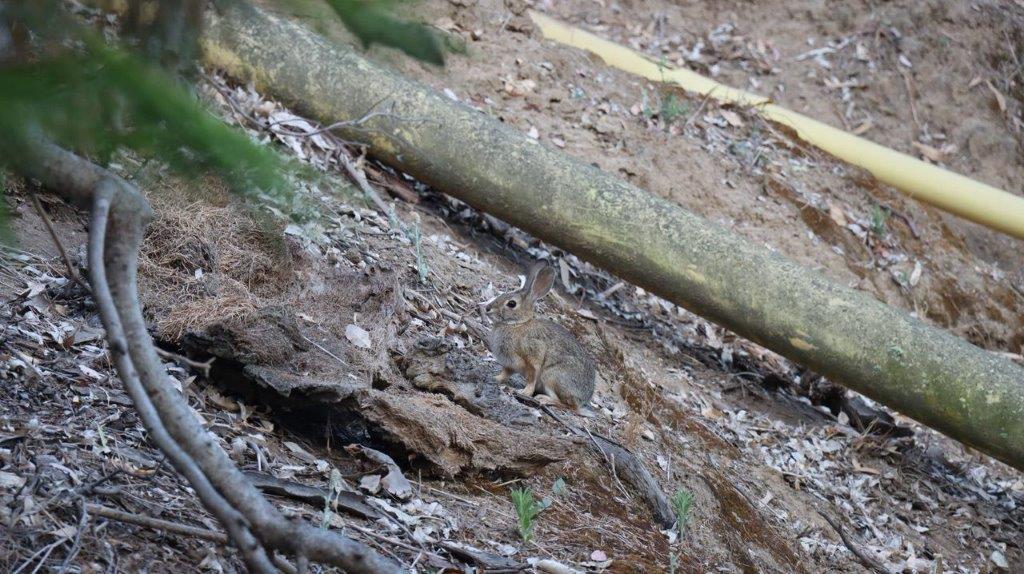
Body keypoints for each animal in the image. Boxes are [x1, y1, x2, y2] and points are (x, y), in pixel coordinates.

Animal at [483, 261, 598, 413]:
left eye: (511, 303)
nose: (487, 308)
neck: (517, 324)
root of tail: (584, 399)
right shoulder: (509, 364)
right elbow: (505, 373)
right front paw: (495, 378)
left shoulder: (533, 357)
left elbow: (532, 378)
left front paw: (524, 392)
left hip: (553, 376)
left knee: (569, 406)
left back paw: (544, 399)